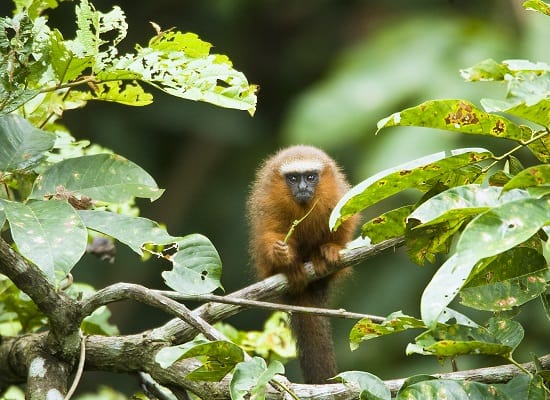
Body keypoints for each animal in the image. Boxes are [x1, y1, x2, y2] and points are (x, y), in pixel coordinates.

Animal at [248, 145, 360, 384]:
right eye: (293, 178)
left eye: (310, 177)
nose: (302, 187)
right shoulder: (267, 203)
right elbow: (268, 233)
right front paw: (281, 254)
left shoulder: (336, 196)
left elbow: (344, 224)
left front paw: (331, 248)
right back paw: (291, 268)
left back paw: (319, 259)